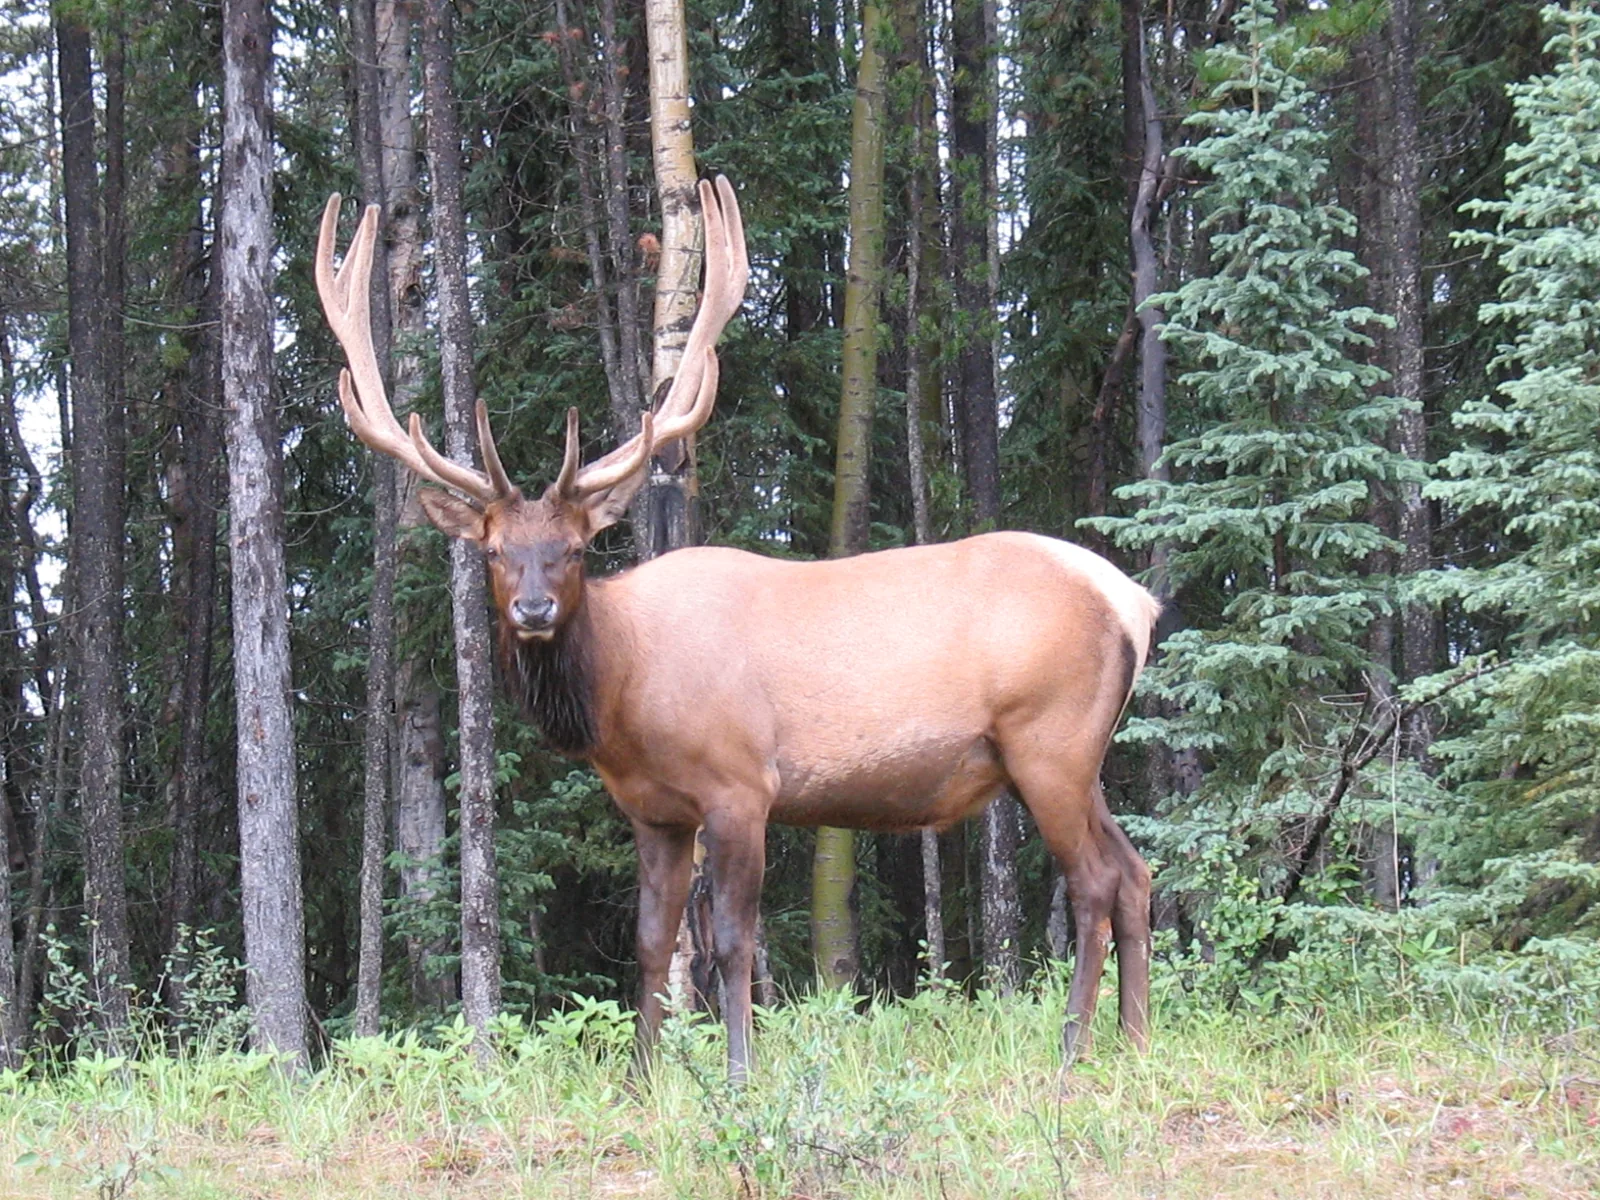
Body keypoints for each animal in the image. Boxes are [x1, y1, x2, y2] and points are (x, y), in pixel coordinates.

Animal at [315, 177, 1160, 1083]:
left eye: (576, 548)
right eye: (495, 551)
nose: (532, 611)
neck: (623, 692)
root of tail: (1134, 602)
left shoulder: (740, 786)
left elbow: (731, 943)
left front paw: (738, 1075)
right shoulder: (654, 811)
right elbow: (652, 943)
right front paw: (644, 1078)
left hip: (1048, 741)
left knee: (1094, 883)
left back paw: (1074, 1052)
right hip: (1078, 754)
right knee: (1136, 871)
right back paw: (1136, 1040)